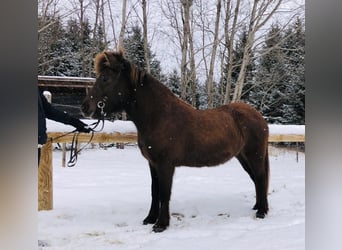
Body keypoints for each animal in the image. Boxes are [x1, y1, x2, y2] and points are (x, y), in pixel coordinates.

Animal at [81, 50, 270, 232]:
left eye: (105, 79)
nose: (85, 107)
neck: (159, 117)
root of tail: (259, 117)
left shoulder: (165, 165)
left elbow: (164, 193)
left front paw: (161, 225)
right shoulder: (153, 164)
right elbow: (154, 191)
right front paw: (150, 219)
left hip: (254, 155)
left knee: (260, 177)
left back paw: (262, 212)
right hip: (242, 157)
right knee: (255, 178)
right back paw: (257, 207)